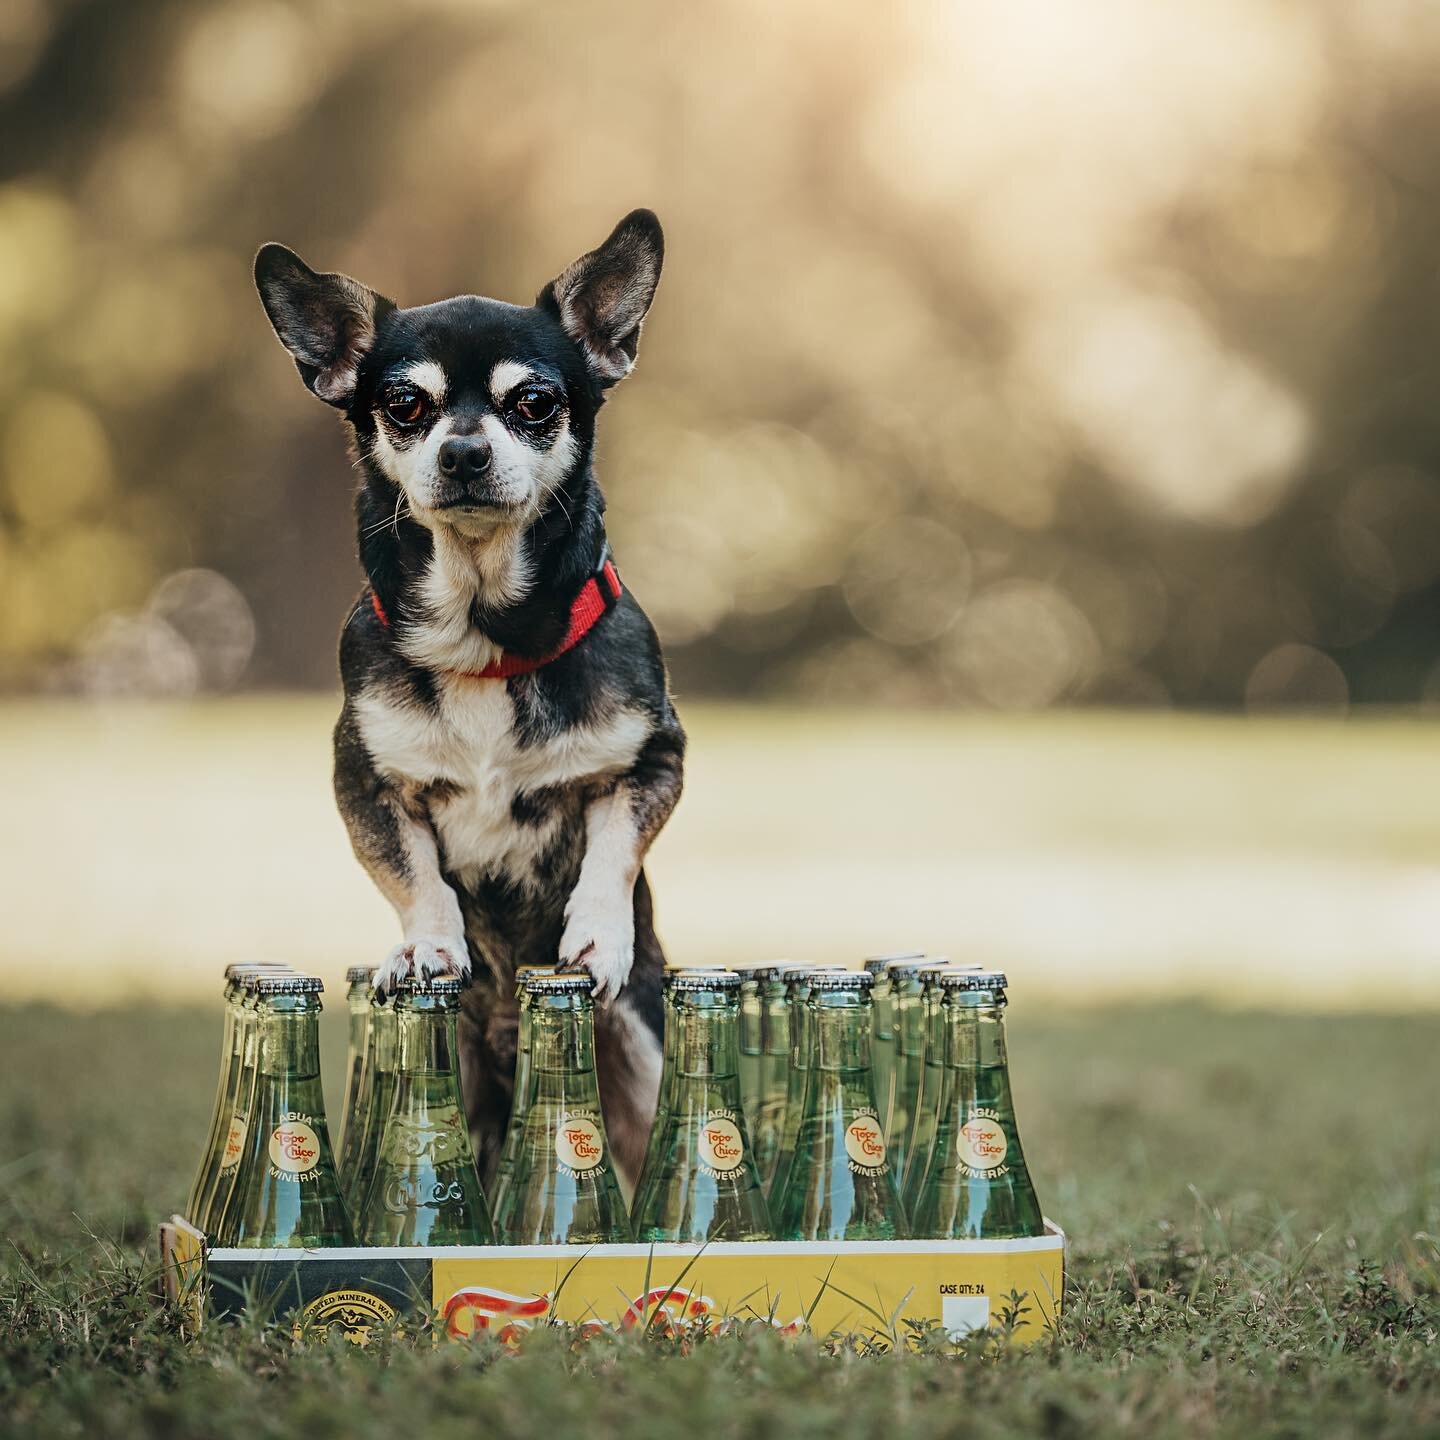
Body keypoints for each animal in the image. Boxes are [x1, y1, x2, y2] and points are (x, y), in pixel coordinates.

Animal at [256, 210, 682, 1180]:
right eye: (405, 406)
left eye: (534, 403)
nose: (463, 450)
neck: (484, 640)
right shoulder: (366, 786)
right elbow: (414, 873)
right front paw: (430, 943)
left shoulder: (651, 764)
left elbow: (611, 850)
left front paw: (596, 933)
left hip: (640, 1056)